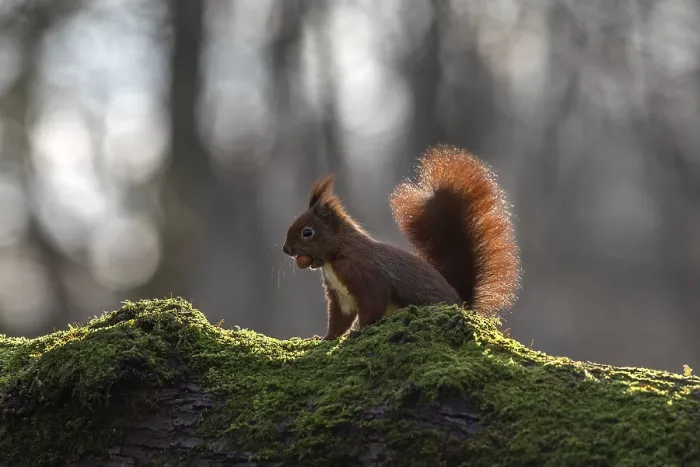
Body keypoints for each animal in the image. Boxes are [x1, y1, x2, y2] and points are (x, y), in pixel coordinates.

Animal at [282, 144, 520, 340]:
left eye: (307, 232)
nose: (285, 249)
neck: (337, 255)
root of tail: (462, 306)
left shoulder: (364, 275)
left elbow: (372, 305)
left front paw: (358, 333)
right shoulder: (339, 294)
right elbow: (340, 319)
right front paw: (325, 338)